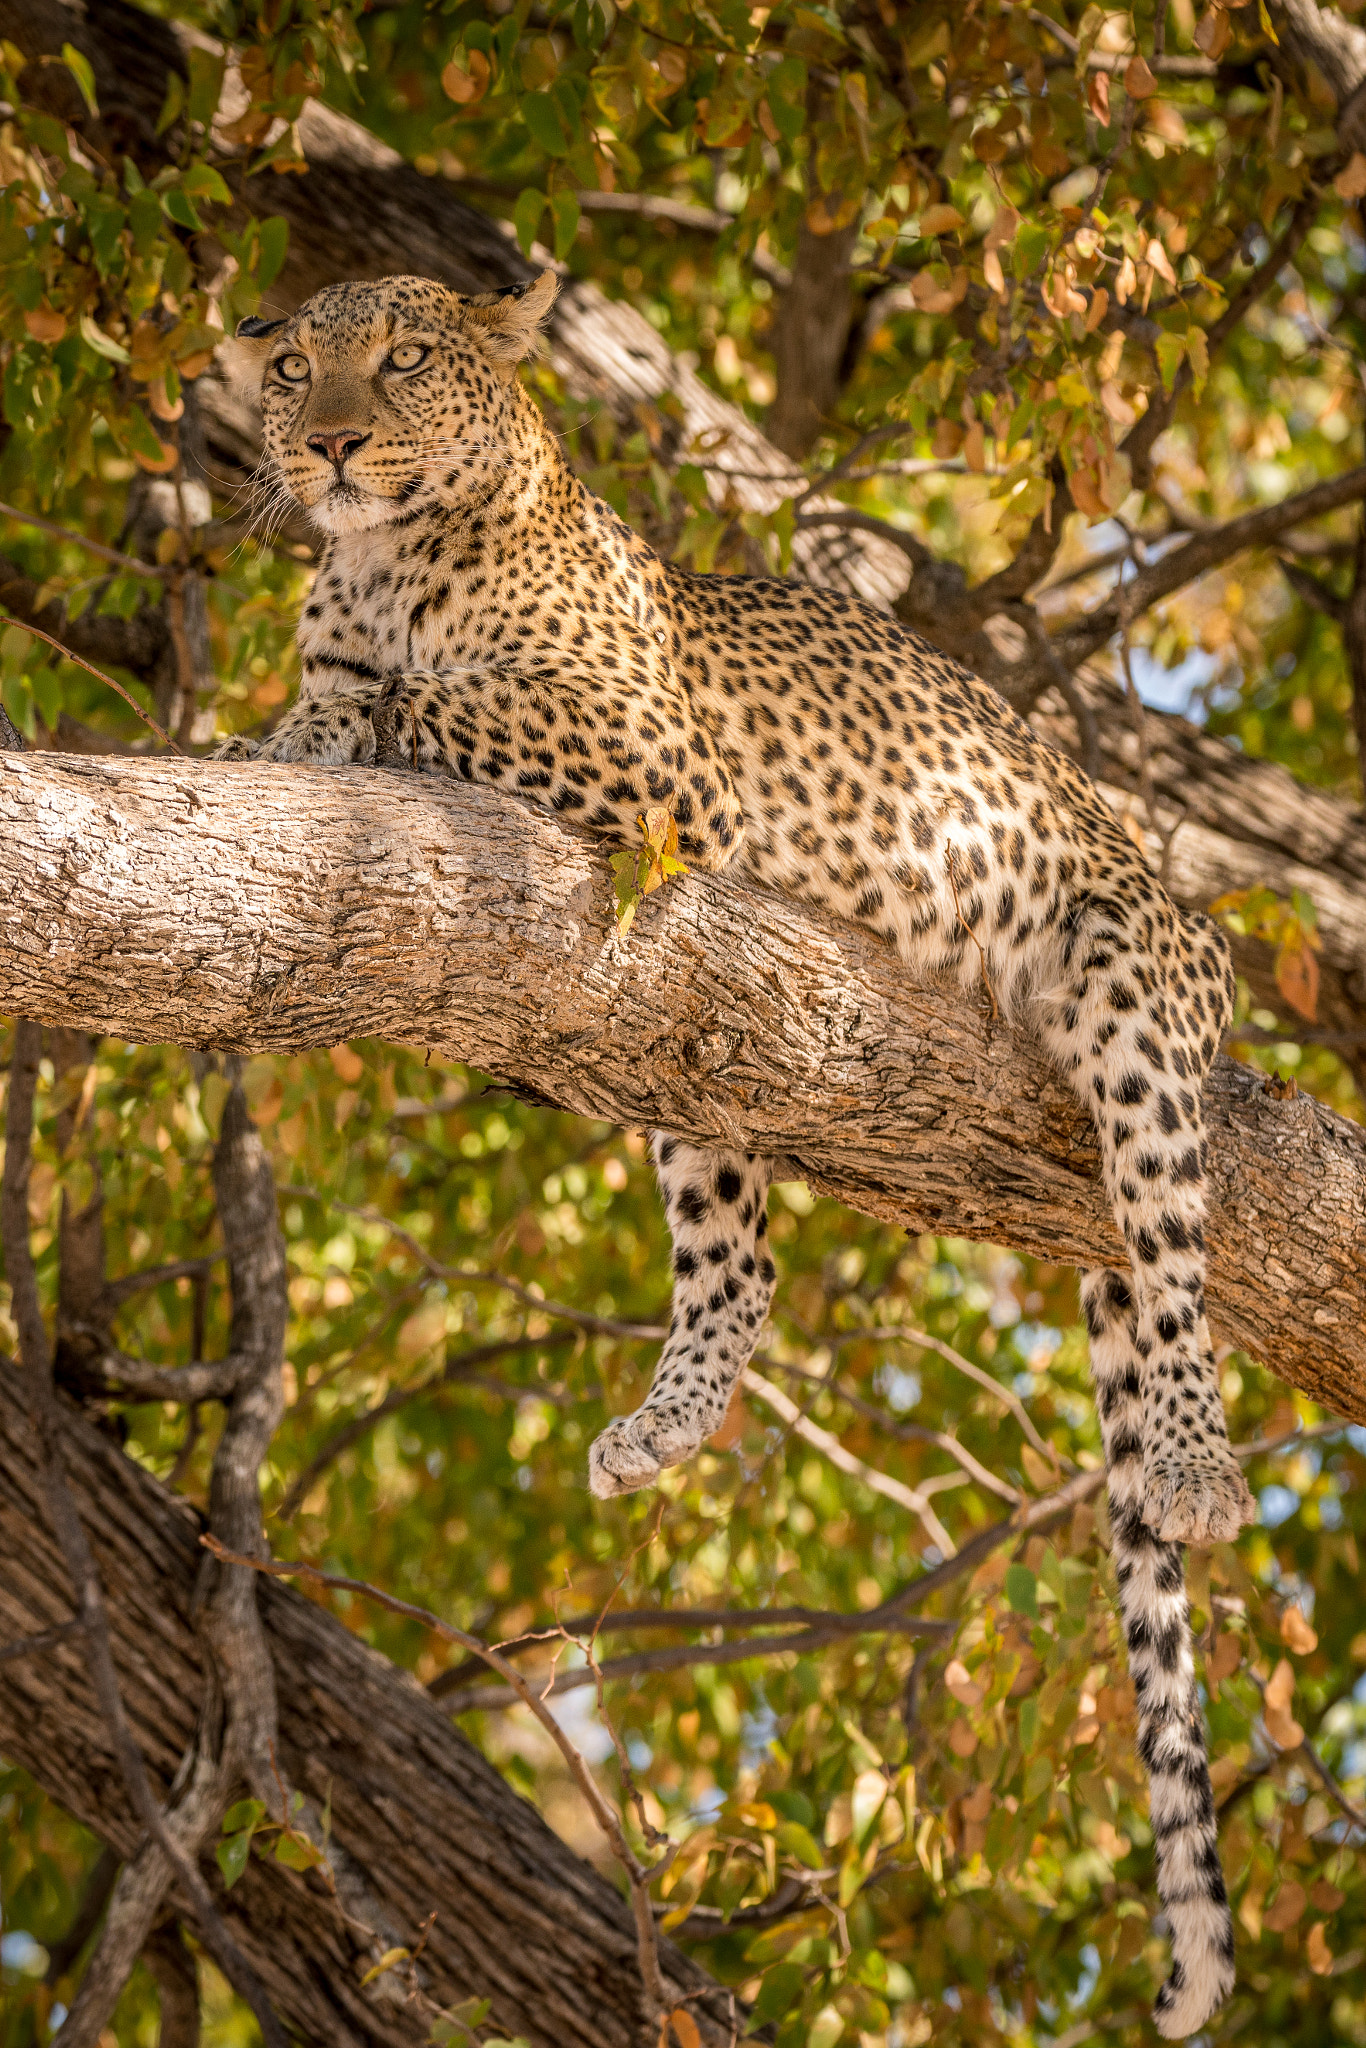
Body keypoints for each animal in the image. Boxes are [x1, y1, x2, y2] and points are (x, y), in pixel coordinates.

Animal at [224, 272, 1261, 2031]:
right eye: (295, 368)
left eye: (407, 360)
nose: (332, 443)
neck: (385, 558)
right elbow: (338, 696)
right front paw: (294, 725)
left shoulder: (645, 753)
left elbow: (423, 700)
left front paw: (328, 724)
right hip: (679, 1052)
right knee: (743, 1259)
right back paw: (661, 1425)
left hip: (1130, 974)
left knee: (1173, 1256)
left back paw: (1193, 1463)